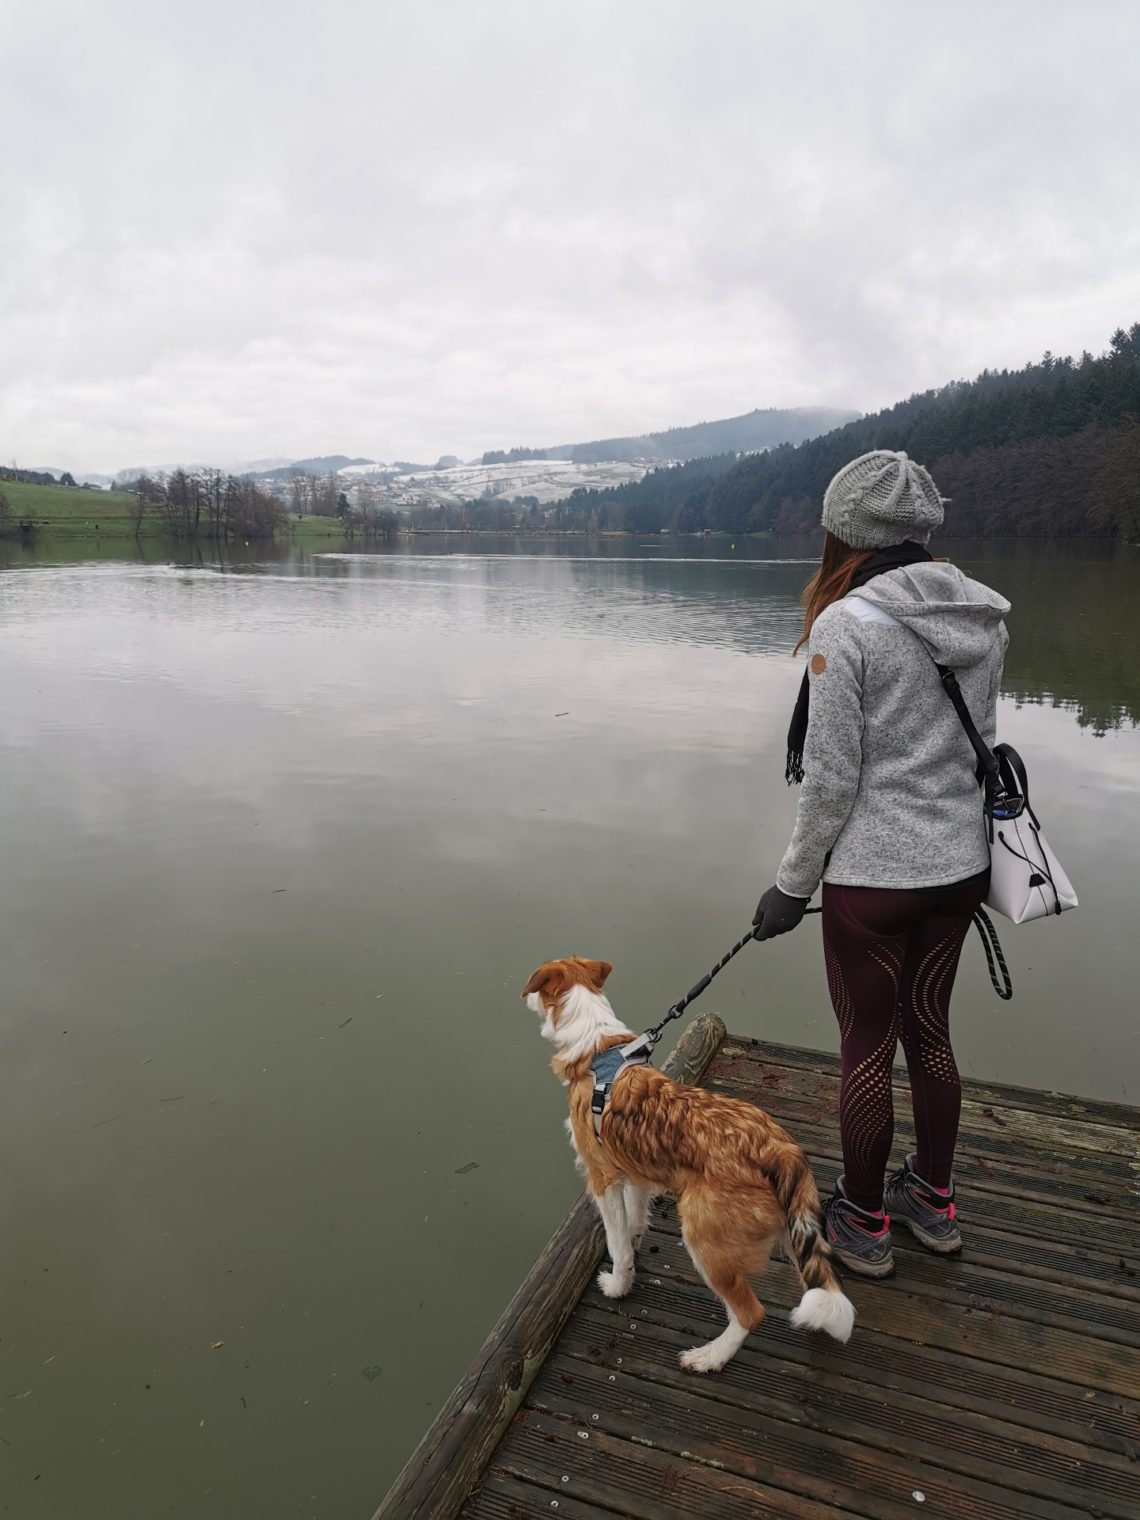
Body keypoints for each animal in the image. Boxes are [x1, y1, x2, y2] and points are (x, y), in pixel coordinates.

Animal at [525, 954, 857, 1374]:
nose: (524, 995)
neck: (597, 1048)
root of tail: (778, 1149)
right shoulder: (636, 1172)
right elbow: (635, 1221)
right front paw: (634, 1247)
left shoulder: (603, 1178)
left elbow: (617, 1243)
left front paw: (618, 1284)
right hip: (792, 1228)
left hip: (704, 1238)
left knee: (750, 1314)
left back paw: (710, 1357)